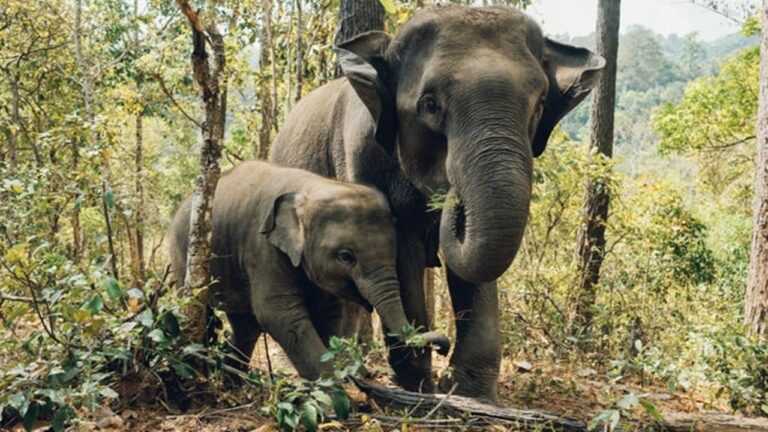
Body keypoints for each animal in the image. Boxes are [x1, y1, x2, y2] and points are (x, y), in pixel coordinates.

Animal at [167, 161, 450, 380]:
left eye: (394, 252)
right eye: (346, 256)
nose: (443, 348)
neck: (310, 188)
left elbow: (328, 313)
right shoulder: (262, 248)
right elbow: (278, 314)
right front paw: (336, 399)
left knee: (245, 325)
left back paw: (234, 381)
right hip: (183, 255)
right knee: (201, 310)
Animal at [269, 5, 604, 400]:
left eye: (539, 105)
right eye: (429, 104)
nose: (451, 196)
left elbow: (473, 268)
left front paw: (468, 391)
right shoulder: (361, 155)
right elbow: (402, 252)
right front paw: (420, 385)